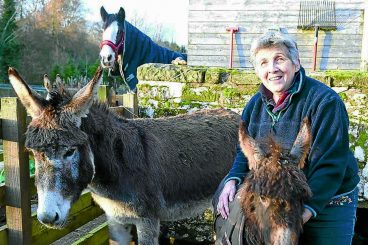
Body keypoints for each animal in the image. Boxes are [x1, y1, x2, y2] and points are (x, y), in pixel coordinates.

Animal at [7, 66, 239, 244]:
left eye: (70, 151)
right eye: (33, 153)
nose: (47, 217)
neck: (118, 166)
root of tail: (236, 115)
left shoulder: (147, 220)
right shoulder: (116, 219)